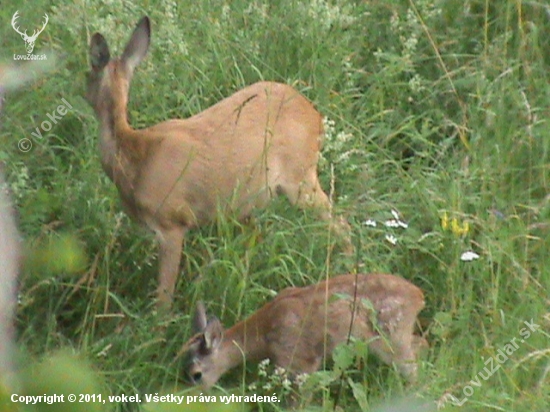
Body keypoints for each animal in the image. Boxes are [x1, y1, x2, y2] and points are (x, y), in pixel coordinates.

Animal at [86, 16, 354, 308]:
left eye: (87, 73)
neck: (135, 156)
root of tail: (316, 116)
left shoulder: (173, 222)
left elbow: (164, 298)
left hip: (301, 177)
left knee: (341, 224)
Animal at [179, 274, 430, 390]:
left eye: (196, 374)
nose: (193, 396)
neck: (264, 335)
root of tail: (419, 297)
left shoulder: (301, 360)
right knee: (420, 344)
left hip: (390, 336)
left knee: (412, 365)